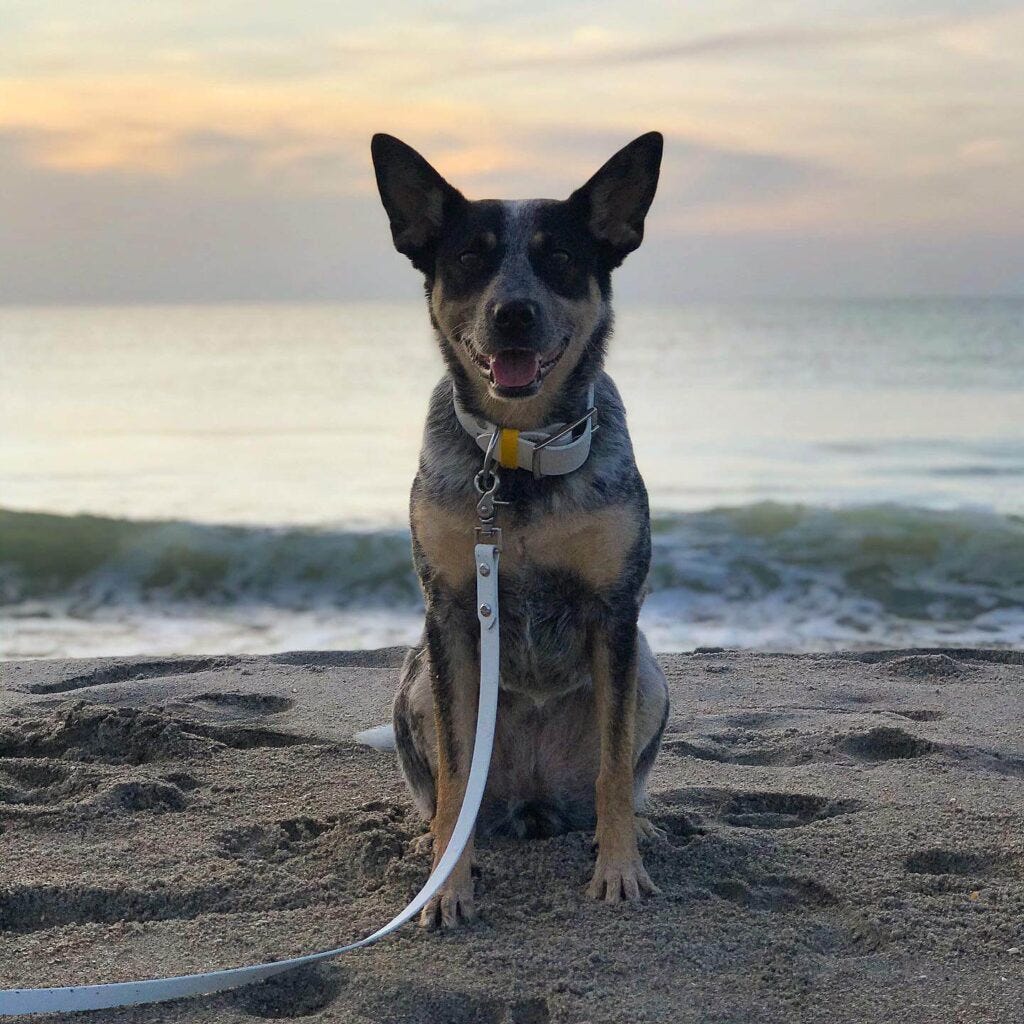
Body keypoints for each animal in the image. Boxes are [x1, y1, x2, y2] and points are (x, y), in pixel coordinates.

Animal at [372, 128, 667, 929]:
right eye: (470, 257)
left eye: (560, 257)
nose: (513, 312)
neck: (515, 457)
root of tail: (532, 804)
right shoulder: (448, 611)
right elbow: (455, 769)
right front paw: (447, 885)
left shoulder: (615, 612)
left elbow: (612, 771)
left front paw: (620, 866)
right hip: (414, 681)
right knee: (446, 790)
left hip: (651, 674)